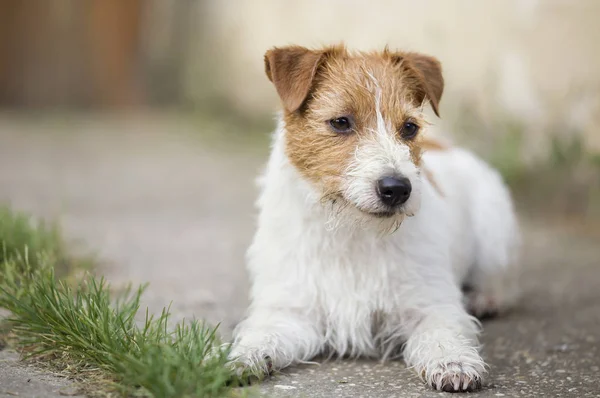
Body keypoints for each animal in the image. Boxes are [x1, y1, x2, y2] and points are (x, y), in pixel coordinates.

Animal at [230, 44, 520, 392]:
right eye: (341, 122)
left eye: (409, 127)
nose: (398, 188)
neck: (351, 230)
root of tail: (446, 146)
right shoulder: (289, 311)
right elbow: (263, 335)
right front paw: (238, 358)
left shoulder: (430, 303)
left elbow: (442, 334)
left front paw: (453, 361)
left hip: (494, 233)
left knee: (500, 279)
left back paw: (485, 297)